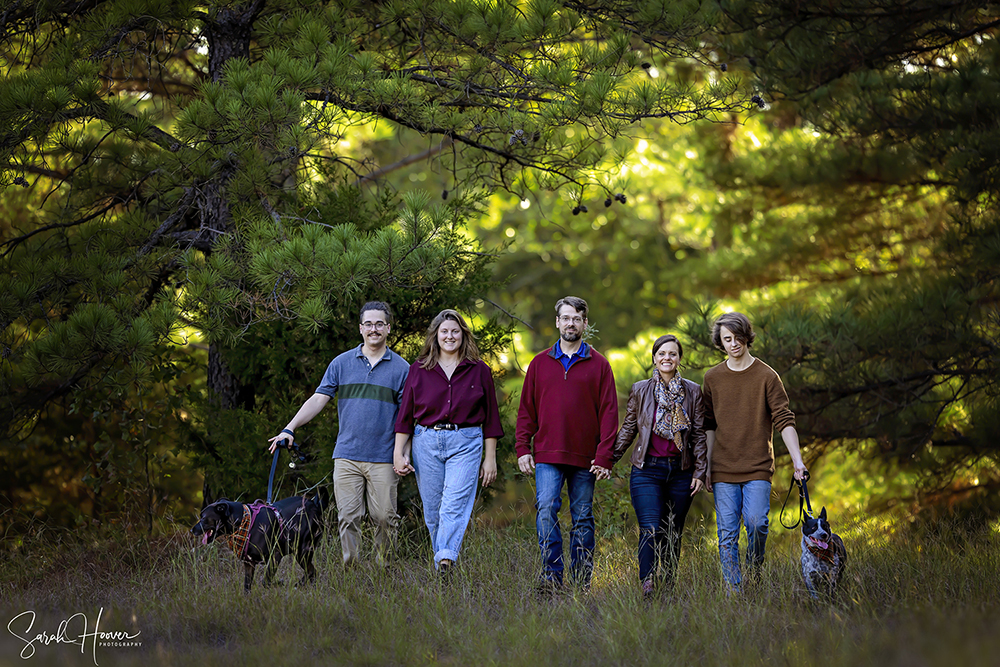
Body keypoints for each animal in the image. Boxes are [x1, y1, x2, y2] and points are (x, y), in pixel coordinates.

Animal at [189, 490, 326, 596]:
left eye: (203, 518)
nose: (192, 530)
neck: (244, 521)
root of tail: (315, 504)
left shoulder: (275, 556)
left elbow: (266, 581)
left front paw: (279, 583)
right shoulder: (249, 563)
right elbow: (247, 586)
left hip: (302, 551)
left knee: (311, 572)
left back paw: (298, 585)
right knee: (312, 573)